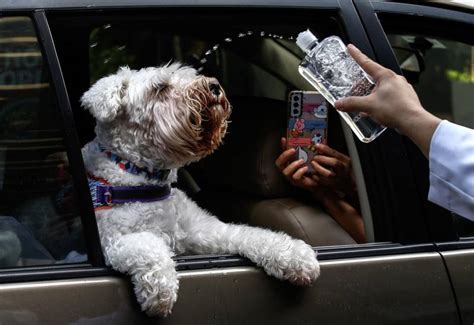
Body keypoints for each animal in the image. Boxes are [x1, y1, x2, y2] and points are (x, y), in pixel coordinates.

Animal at [79, 63, 320, 316]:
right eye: (160, 87)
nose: (214, 86)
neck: (144, 179)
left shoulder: (206, 230)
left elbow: (251, 234)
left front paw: (296, 255)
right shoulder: (110, 240)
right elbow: (148, 245)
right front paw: (161, 292)